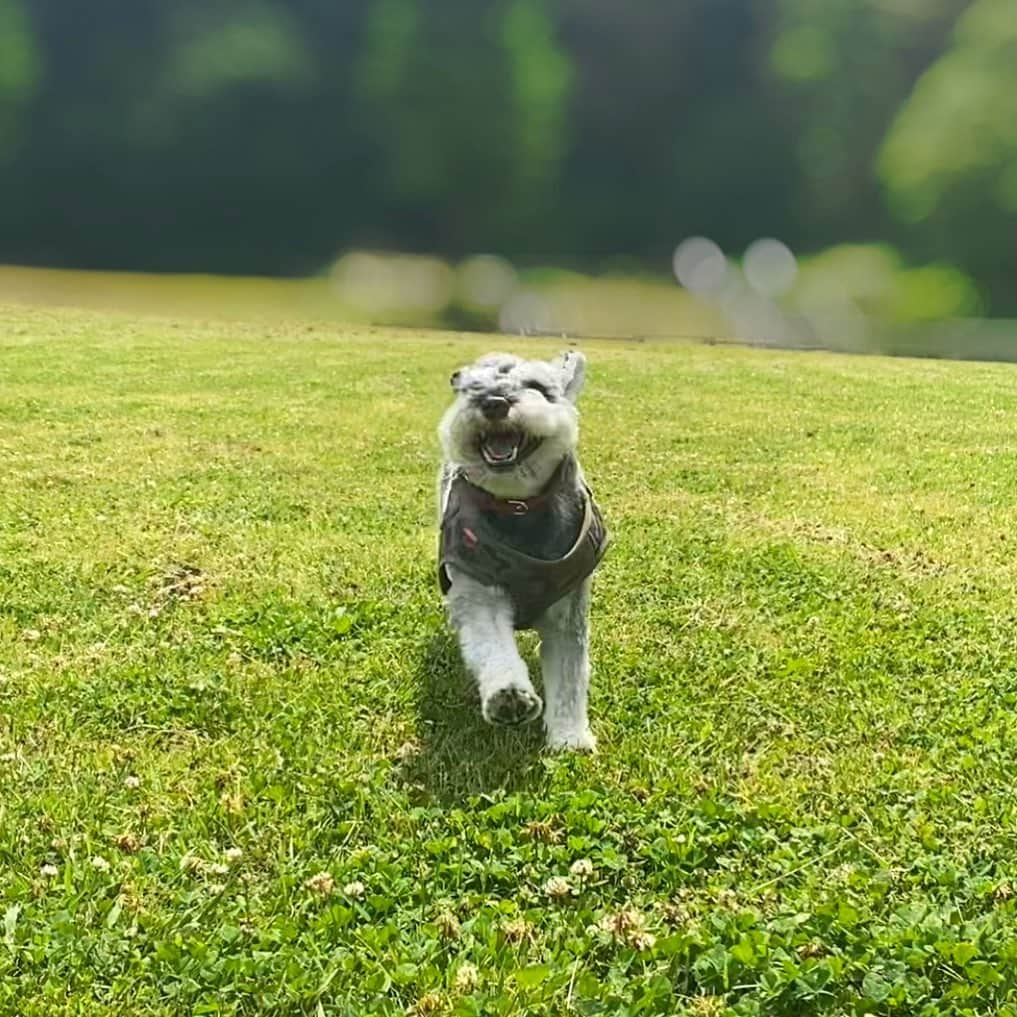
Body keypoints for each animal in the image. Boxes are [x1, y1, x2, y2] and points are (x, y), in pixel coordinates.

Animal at [435, 353, 606, 752]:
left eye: (537, 387)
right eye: (468, 388)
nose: (494, 402)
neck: (518, 507)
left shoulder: (567, 609)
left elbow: (569, 674)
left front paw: (570, 738)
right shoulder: (478, 589)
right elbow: (491, 644)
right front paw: (508, 697)